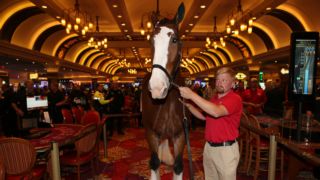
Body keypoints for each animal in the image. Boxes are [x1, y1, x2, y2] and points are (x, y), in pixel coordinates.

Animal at [142, 2, 189, 180]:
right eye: (151, 41)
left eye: (174, 39)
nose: (157, 87)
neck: (167, 102)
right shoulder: (151, 132)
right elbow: (155, 162)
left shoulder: (180, 135)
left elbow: (178, 166)